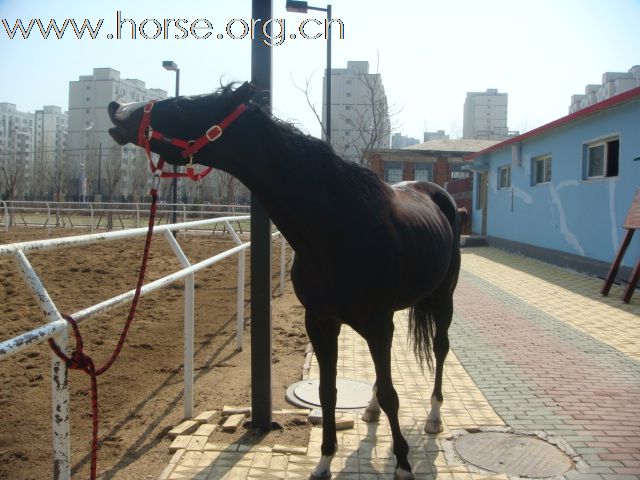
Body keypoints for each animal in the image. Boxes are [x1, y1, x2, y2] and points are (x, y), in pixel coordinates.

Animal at [109, 82, 460, 480]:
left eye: (183, 105)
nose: (117, 108)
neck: (338, 227)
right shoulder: (321, 322)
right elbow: (327, 392)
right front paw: (323, 460)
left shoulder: (376, 323)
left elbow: (391, 394)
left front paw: (402, 463)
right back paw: (370, 410)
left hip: (443, 299)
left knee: (440, 349)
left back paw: (433, 416)